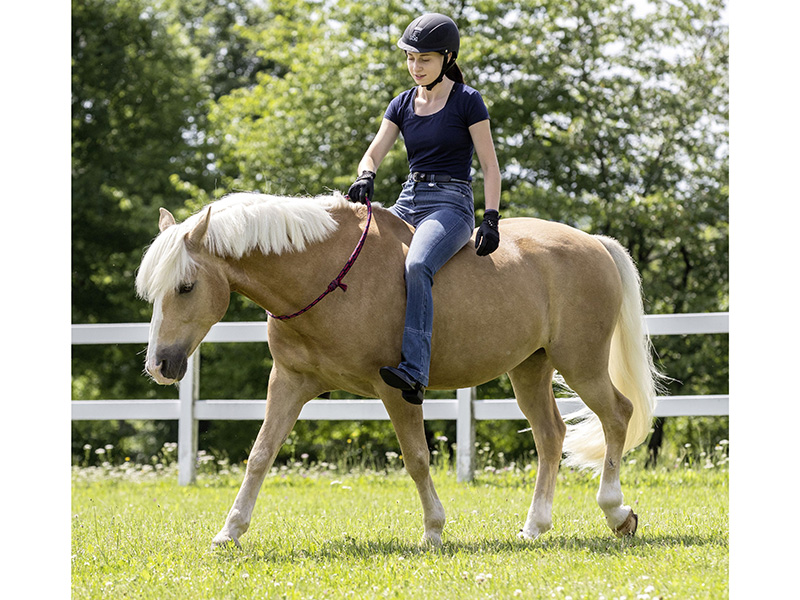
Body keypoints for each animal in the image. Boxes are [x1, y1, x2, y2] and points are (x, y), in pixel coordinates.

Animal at [135, 191, 659, 548]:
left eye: (185, 287)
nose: (161, 365)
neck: (327, 274)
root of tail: (594, 242)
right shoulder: (288, 383)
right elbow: (260, 455)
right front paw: (230, 531)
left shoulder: (397, 390)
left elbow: (417, 459)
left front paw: (433, 531)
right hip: (530, 369)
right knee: (551, 435)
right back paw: (535, 526)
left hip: (582, 364)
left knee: (617, 414)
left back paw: (616, 512)